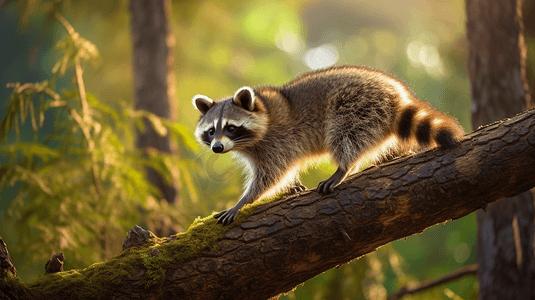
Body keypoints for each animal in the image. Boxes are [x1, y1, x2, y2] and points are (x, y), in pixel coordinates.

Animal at [194, 65, 464, 225]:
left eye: (231, 128)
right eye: (211, 131)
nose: (217, 148)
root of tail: (396, 95)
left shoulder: (278, 141)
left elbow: (272, 175)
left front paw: (244, 201)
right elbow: (280, 174)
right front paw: (290, 187)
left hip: (356, 105)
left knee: (346, 135)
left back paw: (344, 167)